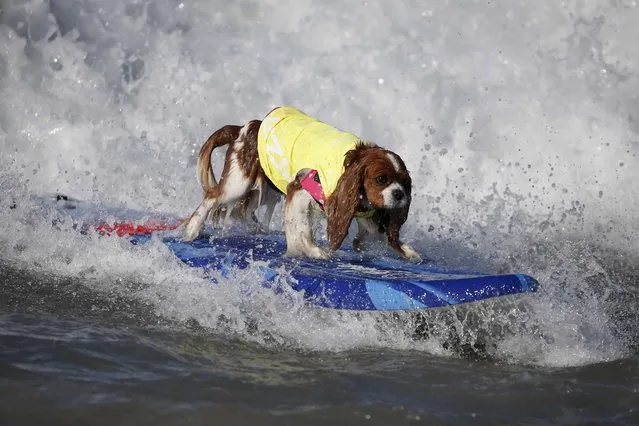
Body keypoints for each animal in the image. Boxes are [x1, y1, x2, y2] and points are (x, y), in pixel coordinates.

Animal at [181, 105, 420, 262]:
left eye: (405, 182)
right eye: (381, 179)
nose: (399, 195)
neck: (349, 165)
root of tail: (245, 127)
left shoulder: (362, 210)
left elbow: (377, 233)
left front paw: (404, 250)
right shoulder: (299, 190)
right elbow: (303, 230)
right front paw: (315, 251)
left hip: (266, 189)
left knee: (244, 209)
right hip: (239, 182)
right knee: (213, 196)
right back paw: (192, 229)